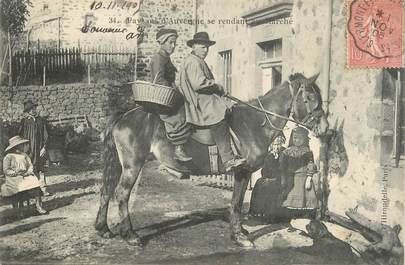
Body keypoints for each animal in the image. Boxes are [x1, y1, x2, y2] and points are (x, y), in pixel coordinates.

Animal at [94, 71, 328, 245]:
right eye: (309, 98)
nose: (326, 128)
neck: (254, 123)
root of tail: (124, 114)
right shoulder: (241, 172)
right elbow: (235, 204)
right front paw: (239, 237)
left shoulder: (243, 174)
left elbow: (237, 202)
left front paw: (240, 231)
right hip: (132, 166)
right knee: (121, 194)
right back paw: (130, 235)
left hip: (120, 165)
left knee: (106, 191)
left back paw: (103, 229)